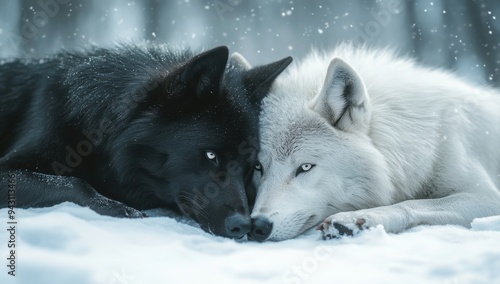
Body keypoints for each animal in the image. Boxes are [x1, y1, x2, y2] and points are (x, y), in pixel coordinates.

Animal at [246, 45, 500, 242]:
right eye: (258, 167)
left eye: (305, 167)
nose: (258, 226)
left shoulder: (488, 197)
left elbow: (414, 203)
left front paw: (357, 219)